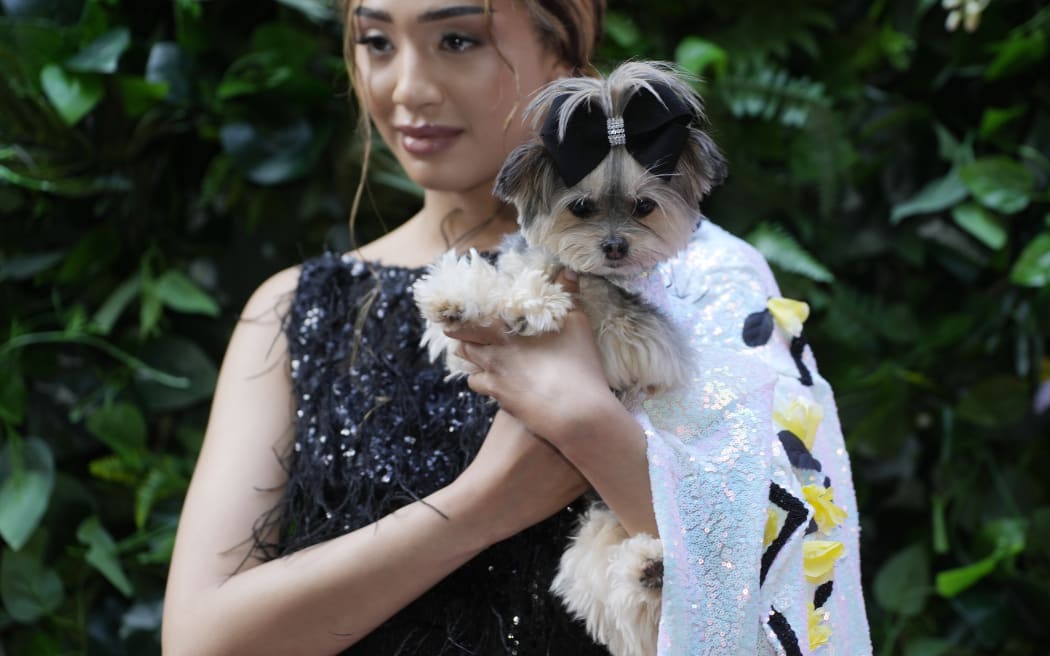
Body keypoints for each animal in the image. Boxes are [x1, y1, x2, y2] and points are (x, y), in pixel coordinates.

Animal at [413, 60, 726, 398]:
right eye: (581, 207)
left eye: (644, 206)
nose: (615, 246)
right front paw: (457, 294)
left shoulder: (643, 342)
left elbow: (613, 325)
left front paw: (531, 303)